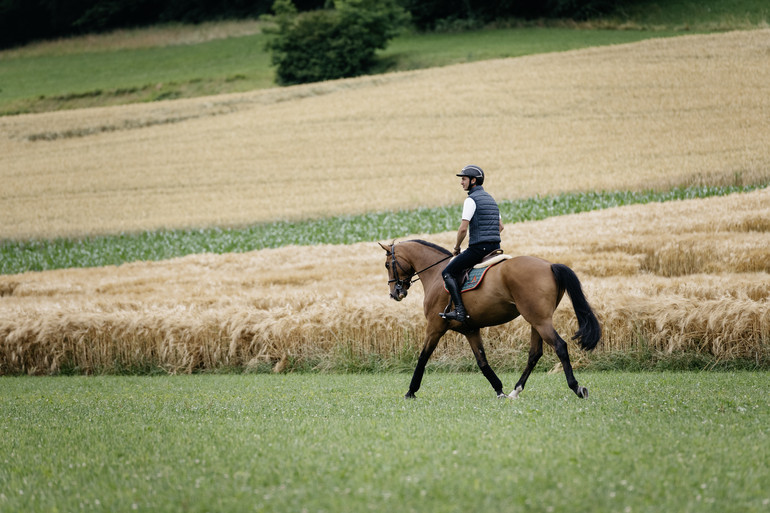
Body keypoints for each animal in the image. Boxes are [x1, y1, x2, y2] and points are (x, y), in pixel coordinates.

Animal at [378, 240, 600, 400]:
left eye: (388, 264)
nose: (395, 293)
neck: (435, 274)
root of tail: (550, 265)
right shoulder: (470, 330)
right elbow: (482, 361)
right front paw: (499, 390)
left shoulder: (435, 327)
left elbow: (423, 357)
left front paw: (410, 391)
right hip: (537, 321)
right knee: (535, 354)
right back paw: (515, 391)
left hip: (540, 321)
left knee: (560, 346)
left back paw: (576, 387)